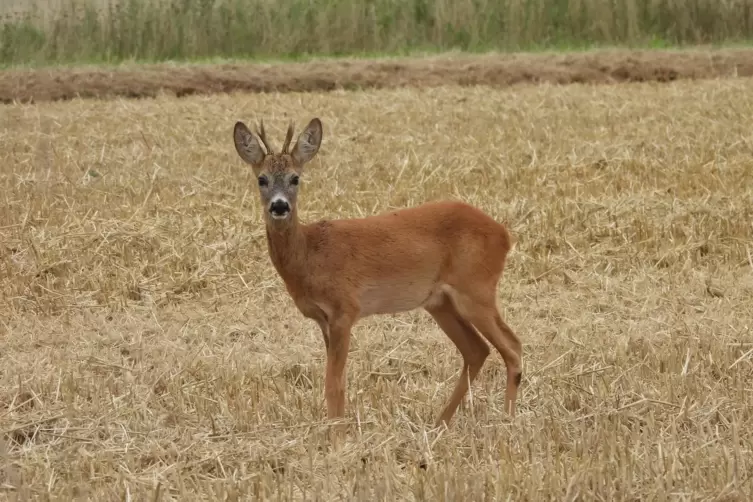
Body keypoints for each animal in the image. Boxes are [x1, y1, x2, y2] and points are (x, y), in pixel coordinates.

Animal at [232, 117, 520, 428]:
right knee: (477, 350)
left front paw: (337, 436)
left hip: (477, 289)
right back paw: (440, 423)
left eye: (295, 178)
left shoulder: (345, 309)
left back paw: (507, 420)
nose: (279, 206)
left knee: (512, 346)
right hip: (440, 302)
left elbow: (334, 383)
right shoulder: (324, 319)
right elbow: (336, 381)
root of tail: (504, 234)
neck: (310, 254)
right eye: (261, 179)